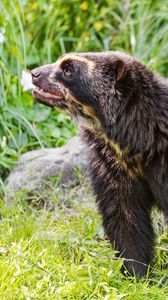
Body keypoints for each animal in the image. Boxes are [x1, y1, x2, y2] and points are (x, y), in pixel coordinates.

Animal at [30, 51, 167, 276]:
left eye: (69, 70)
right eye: (61, 60)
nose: (35, 73)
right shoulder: (110, 166)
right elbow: (125, 219)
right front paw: (137, 273)